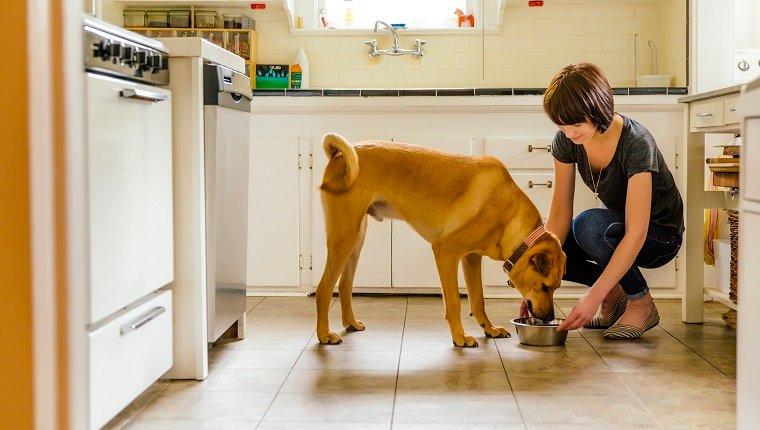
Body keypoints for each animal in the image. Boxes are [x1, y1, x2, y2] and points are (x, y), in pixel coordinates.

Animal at [314, 133, 564, 348]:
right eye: (545, 286)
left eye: (556, 288)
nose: (549, 318)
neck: (508, 215)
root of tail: (340, 155)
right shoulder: (446, 252)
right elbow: (453, 302)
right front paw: (460, 337)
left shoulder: (471, 259)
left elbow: (478, 299)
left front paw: (489, 329)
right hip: (343, 237)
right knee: (324, 289)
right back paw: (324, 334)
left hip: (356, 239)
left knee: (344, 285)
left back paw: (350, 323)